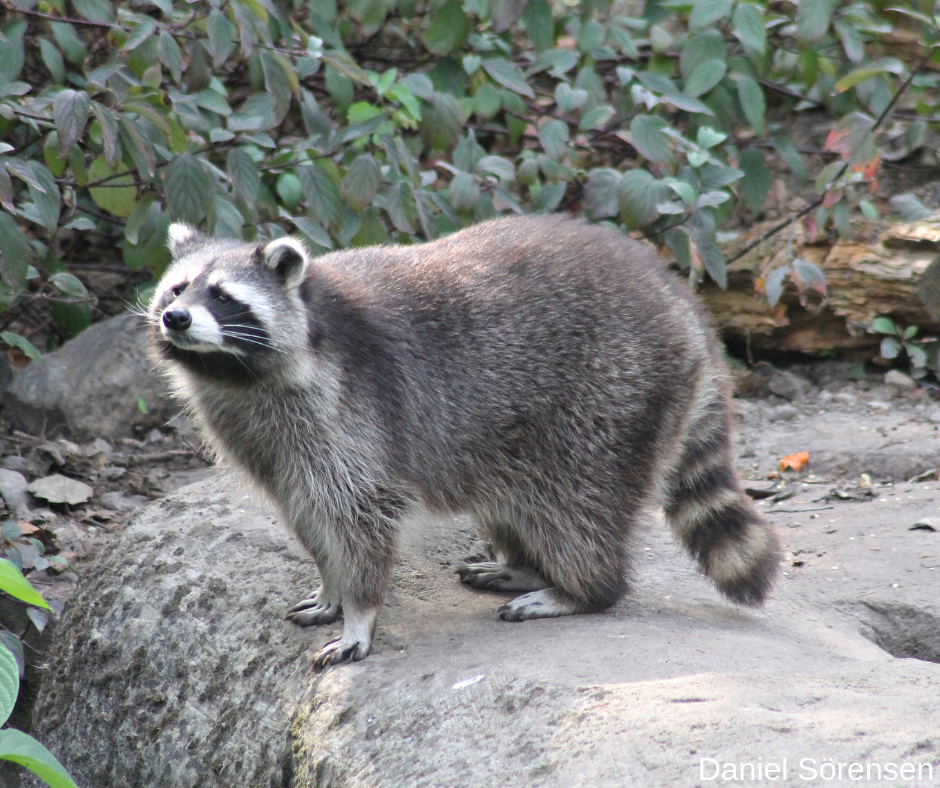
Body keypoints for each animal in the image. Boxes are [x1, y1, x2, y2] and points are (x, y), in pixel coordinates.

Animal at [148, 215, 781, 669]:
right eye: (176, 289)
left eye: (223, 297)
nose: (175, 318)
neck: (239, 375)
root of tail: (682, 302)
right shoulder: (268, 441)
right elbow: (305, 511)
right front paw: (331, 586)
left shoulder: (353, 412)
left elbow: (359, 515)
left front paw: (360, 610)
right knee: (515, 499)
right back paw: (527, 565)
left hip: (611, 397)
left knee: (579, 508)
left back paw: (582, 588)